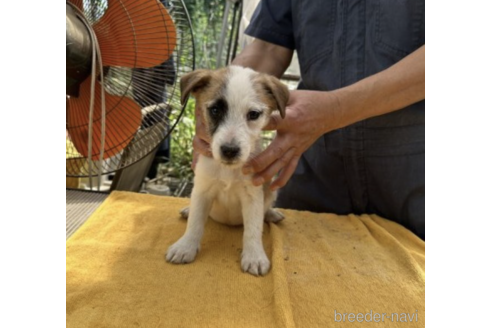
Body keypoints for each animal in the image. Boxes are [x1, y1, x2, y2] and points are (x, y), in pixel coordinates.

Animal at [166, 65, 288, 276]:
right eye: (215, 110)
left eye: (253, 114)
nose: (230, 150)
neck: (228, 170)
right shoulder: (202, 190)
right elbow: (195, 223)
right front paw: (185, 247)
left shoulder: (253, 196)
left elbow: (253, 230)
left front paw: (254, 256)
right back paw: (188, 210)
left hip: (272, 190)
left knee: (265, 210)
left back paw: (271, 214)